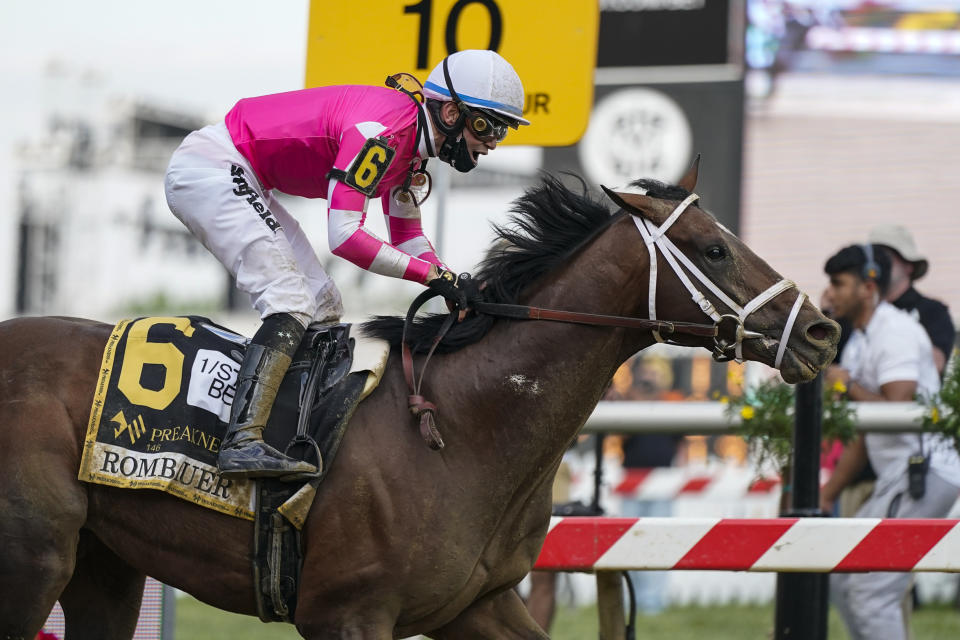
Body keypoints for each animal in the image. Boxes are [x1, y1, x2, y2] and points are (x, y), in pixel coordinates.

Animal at [0, 161, 836, 640]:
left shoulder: (479, 604)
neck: (462, 428)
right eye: (714, 249)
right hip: (34, 559)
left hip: (105, 567)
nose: (822, 331)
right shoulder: (345, 616)